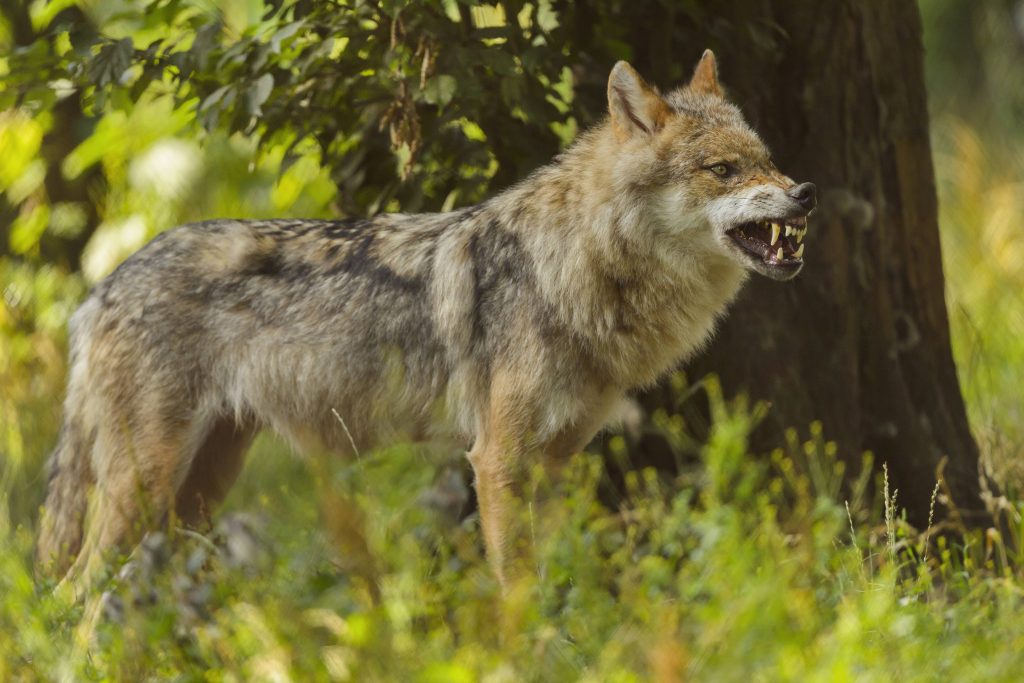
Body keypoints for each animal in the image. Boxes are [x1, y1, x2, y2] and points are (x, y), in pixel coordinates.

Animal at [37, 50, 815, 592]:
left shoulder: (554, 464)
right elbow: (516, 588)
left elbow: (550, 582)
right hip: (147, 486)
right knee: (77, 593)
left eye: (767, 162)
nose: (805, 192)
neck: (574, 265)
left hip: (195, 495)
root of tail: (100, 287)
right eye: (722, 170)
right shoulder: (497, 461)